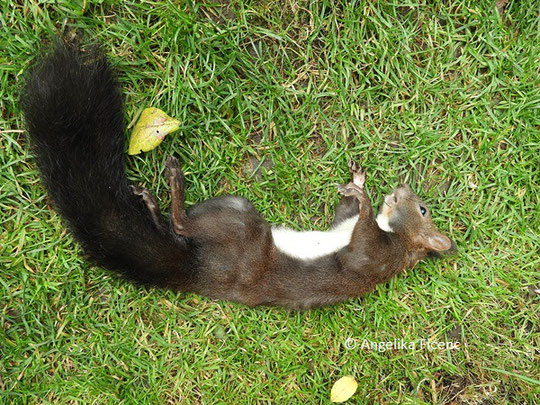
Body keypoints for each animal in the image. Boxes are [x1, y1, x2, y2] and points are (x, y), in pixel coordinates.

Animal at [21, 40, 454, 310]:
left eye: (423, 209)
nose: (401, 188)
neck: (395, 235)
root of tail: (201, 271)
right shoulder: (345, 225)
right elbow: (344, 213)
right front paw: (359, 182)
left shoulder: (375, 259)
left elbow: (360, 243)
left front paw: (364, 198)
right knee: (177, 230)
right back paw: (152, 203)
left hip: (244, 228)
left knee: (184, 225)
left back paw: (173, 183)